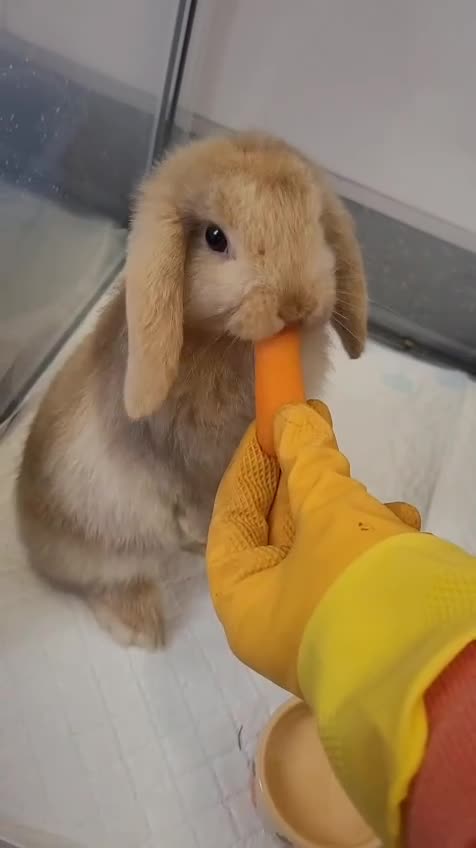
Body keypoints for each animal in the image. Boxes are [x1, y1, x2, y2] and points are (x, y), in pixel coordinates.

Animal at [16, 131, 367, 649]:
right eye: (214, 238)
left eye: (318, 223)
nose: (296, 304)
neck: (226, 344)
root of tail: (26, 531)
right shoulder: (186, 462)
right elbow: (197, 497)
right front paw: (212, 539)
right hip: (108, 544)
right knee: (104, 580)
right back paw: (142, 627)